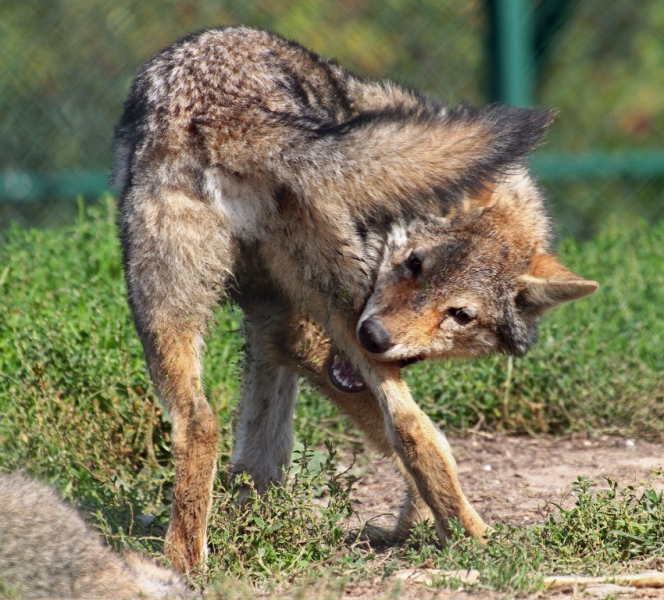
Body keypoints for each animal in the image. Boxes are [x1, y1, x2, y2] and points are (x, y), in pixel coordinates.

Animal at [113, 27, 596, 572]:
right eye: (414, 264)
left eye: (459, 315)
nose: (375, 336)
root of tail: (231, 115)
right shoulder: (298, 332)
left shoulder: (273, 327)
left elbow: (263, 444)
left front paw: (255, 523)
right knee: (410, 426)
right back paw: (473, 537)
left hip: (175, 320)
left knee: (201, 424)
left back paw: (185, 563)